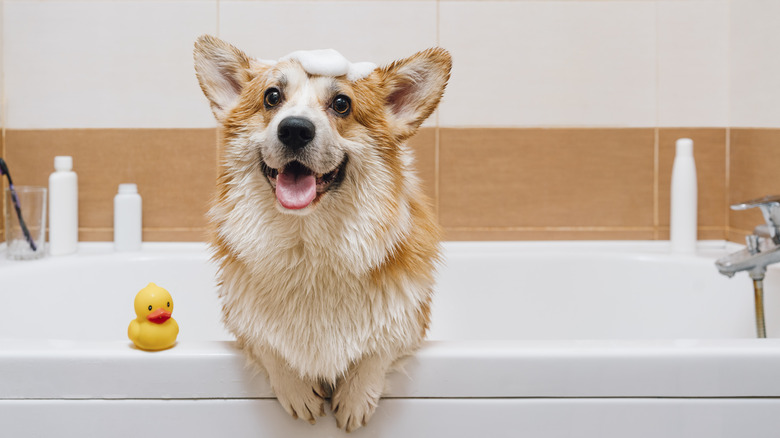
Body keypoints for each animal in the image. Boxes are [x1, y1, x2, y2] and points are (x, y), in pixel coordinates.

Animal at [193, 35, 450, 432]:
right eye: (272, 97)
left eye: (342, 104)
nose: (294, 129)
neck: (308, 245)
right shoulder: (242, 319)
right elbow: (268, 343)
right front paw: (298, 392)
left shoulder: (409, 319)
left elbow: (380, 346)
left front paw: (355, 399)